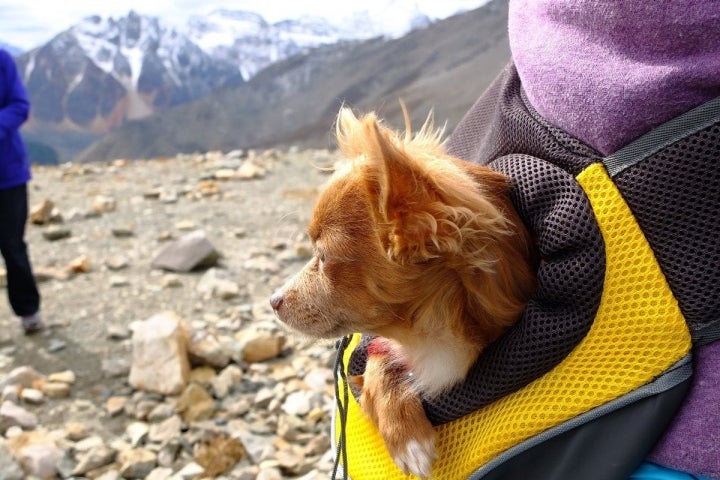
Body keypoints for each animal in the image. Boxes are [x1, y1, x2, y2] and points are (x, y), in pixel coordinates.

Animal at [270, 107, 536, 478]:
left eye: (323, 257)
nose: (273, 301)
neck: (431, 341)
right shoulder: (378, 354)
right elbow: (379, 364)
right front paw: (405, 435)